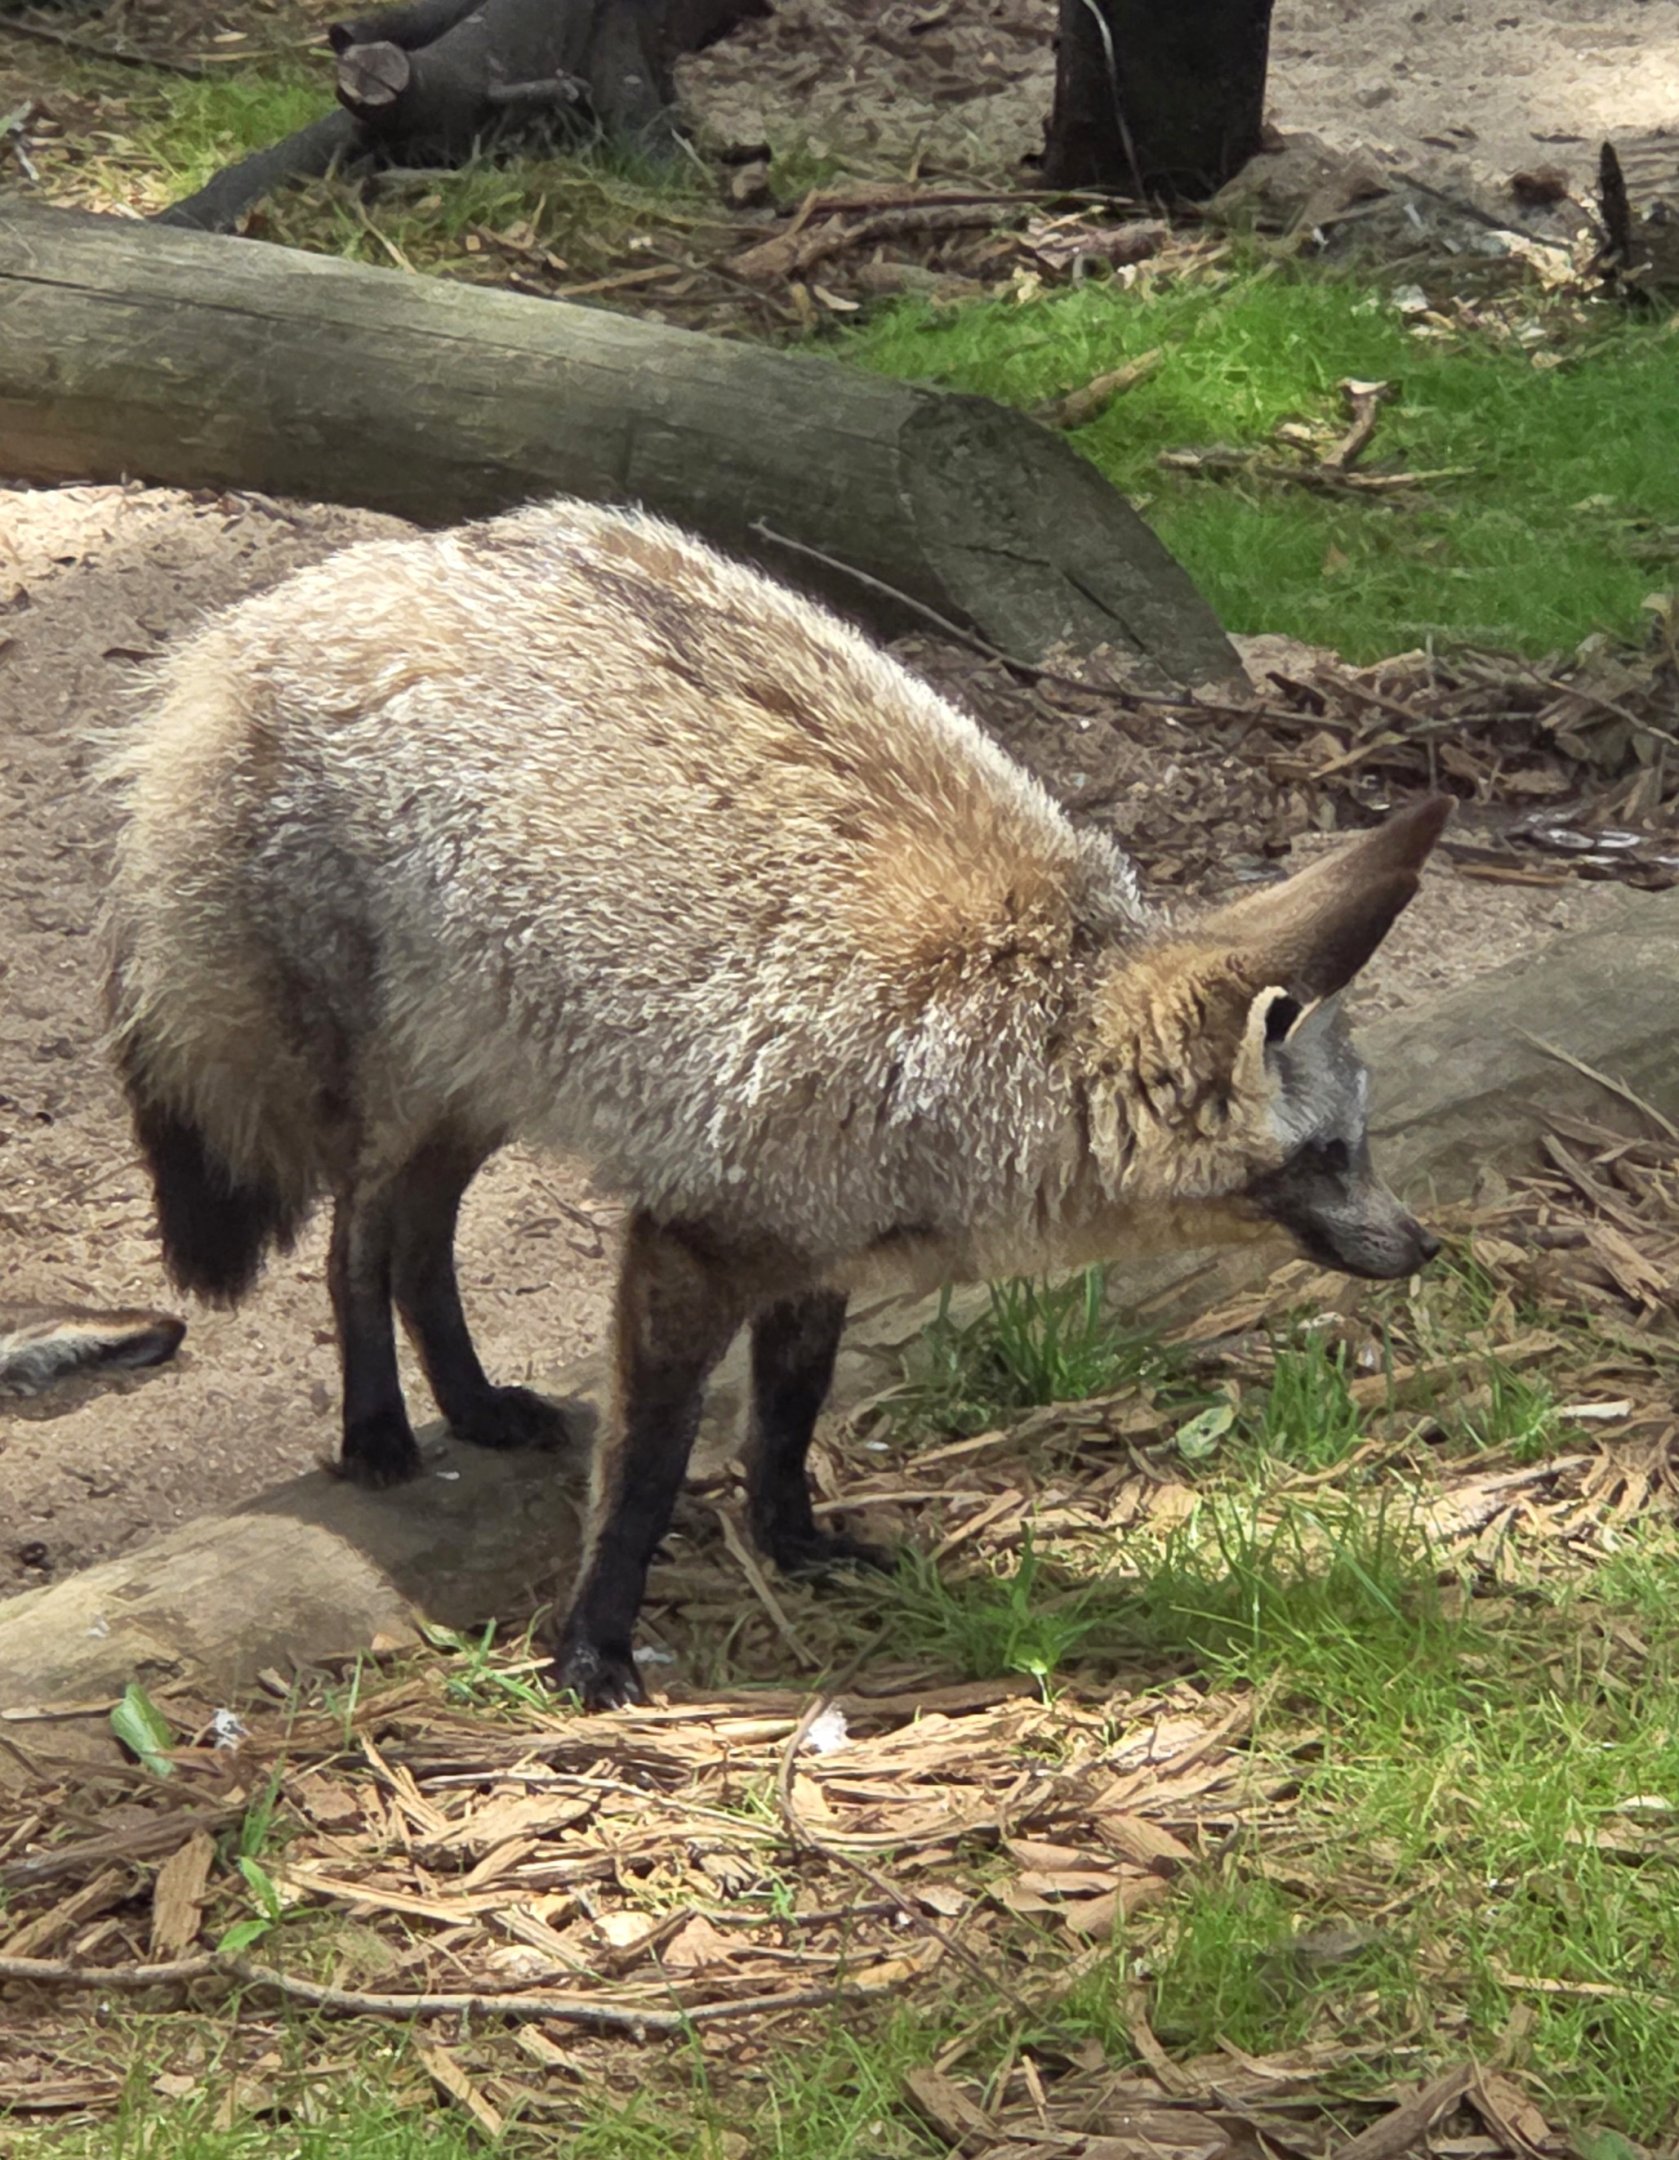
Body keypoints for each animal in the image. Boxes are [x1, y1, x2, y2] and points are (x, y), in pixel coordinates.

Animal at [103, 496, 1449, 1710]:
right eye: (1330, 1155)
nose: (1426, 1245)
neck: (1002, 1030)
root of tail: (276, 607)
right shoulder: (687, 1243)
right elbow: (645, 1469)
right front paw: (592, 1641)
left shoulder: (817, 1251)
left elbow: (787, 1418)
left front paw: (792, 1542)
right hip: (415, 1082)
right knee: (358, 1237)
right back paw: (377, 1427)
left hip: (487, 1074)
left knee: (418, 1236)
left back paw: (472, 1406)